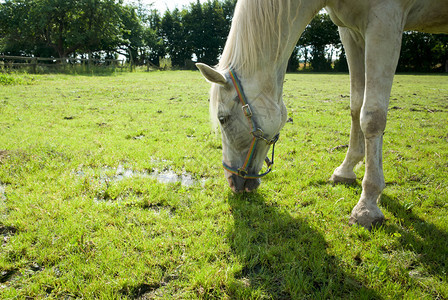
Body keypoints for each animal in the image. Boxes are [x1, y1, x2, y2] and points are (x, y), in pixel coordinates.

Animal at [197, 0, 448, 230]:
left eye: (223, 119)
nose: (232, 182)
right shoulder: (351, 32)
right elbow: (356, 105)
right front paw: (346, 170)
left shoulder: (385, 20)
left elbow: (372, 116)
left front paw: (367, 205)